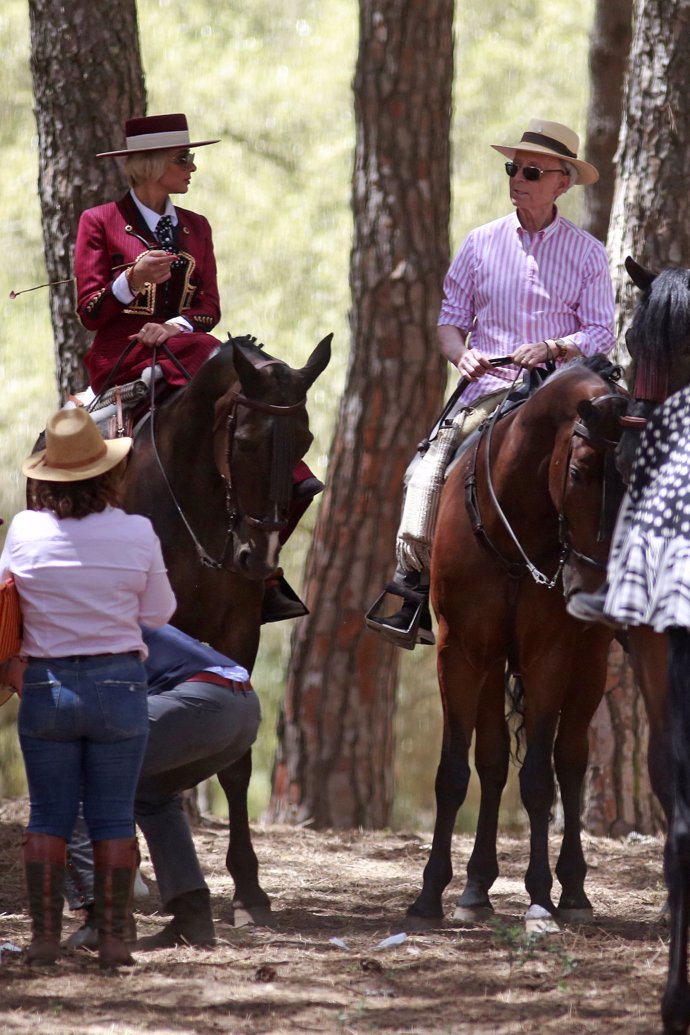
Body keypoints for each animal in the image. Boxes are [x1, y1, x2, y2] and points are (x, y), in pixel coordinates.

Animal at [118, 331, 331, 923]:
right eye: (247, 441)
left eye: (305, 439)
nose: (257, 559)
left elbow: (235, 765)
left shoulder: (238, 630)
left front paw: (249, 888)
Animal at [407, 360, 628, 927]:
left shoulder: (548, 654)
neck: (511, 529)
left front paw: (540, 897)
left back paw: (573, 892)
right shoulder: (461, 651)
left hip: (587, 665)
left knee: (569, 762)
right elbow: (453, 772)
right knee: (490, 762)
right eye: (579, 471)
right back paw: (475, 888)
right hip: (491, 664)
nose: (596, 590)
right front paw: (429, 895)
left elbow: (538, 779)